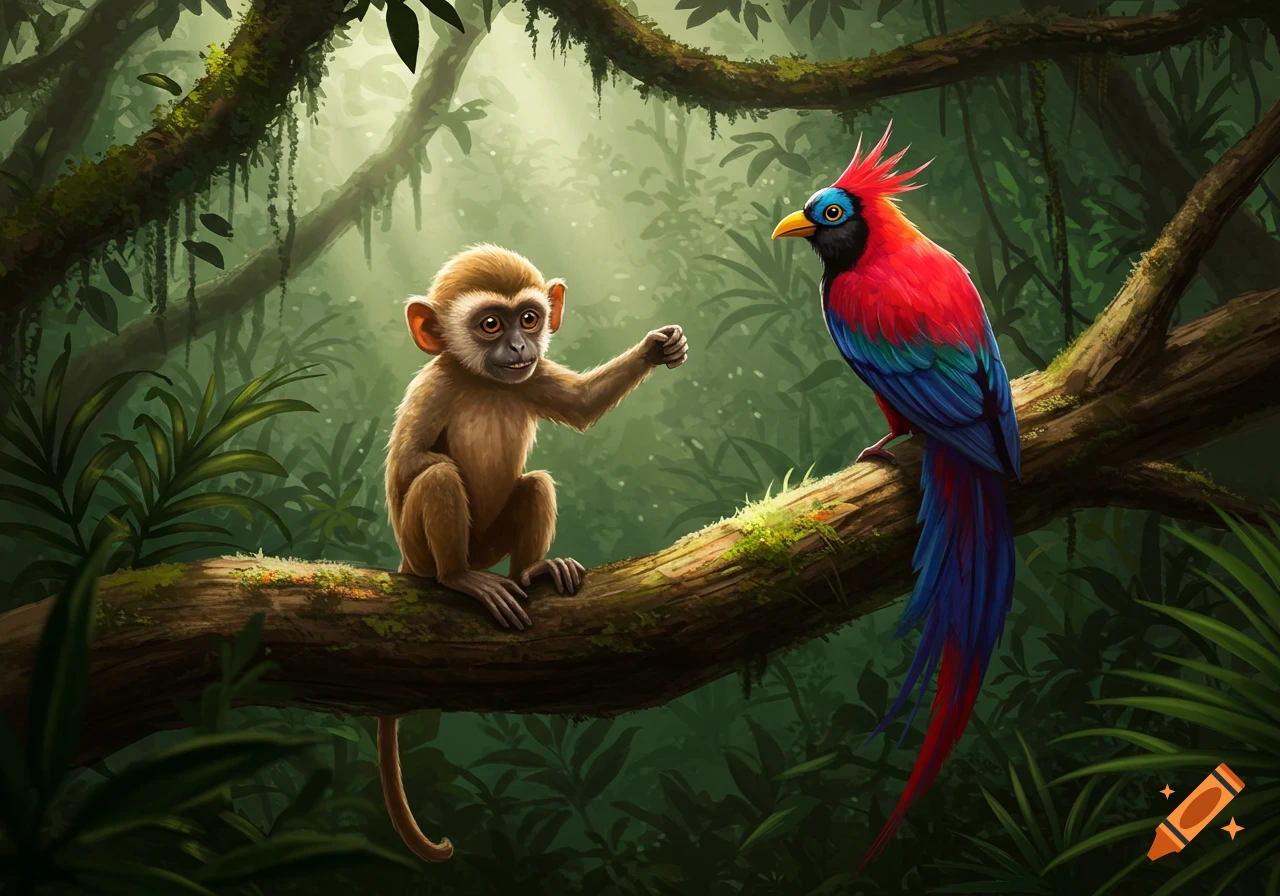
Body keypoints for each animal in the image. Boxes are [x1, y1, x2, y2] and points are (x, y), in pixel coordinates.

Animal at [378, 243, 689, 862]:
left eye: (528, 318)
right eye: (490, 325)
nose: (520, 348)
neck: (481, 380)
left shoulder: (530, 378)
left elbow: (582, 407)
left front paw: (657, 347)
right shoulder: (433, 386)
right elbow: (408, 469)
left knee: (535, 484)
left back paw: (532, 572)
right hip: (422, 551)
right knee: (438, 480)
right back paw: (461, 579)